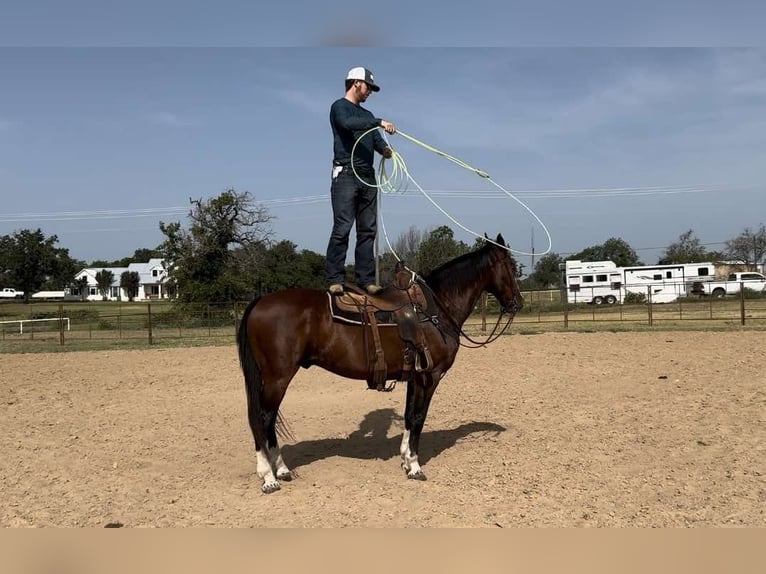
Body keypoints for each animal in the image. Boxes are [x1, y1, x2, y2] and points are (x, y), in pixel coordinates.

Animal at [236, 233, 524, 493]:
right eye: (511, 266)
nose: (518, 303)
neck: (436, 309)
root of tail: (260, 301)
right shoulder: (430, 377)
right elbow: (419, 417)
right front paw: (415, 466)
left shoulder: (415, 377)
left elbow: (409, 415)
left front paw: (406, 460)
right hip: (278, 377)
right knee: (262, 418)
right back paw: (269, 477)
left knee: (268, 419)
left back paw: (282, 470)